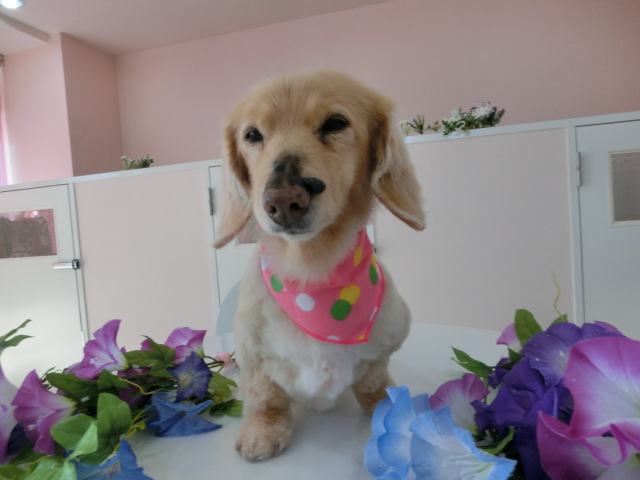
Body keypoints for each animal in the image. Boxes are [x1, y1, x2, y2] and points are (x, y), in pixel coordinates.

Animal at [214, 71, 426, 462]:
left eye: (335, 123)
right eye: (252, 135)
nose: (283, 200)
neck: (311, 276)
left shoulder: (385, 348)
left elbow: (374, 382)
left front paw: (388, 409)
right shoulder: (252, 356)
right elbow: (266, 397)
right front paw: (263, 431)